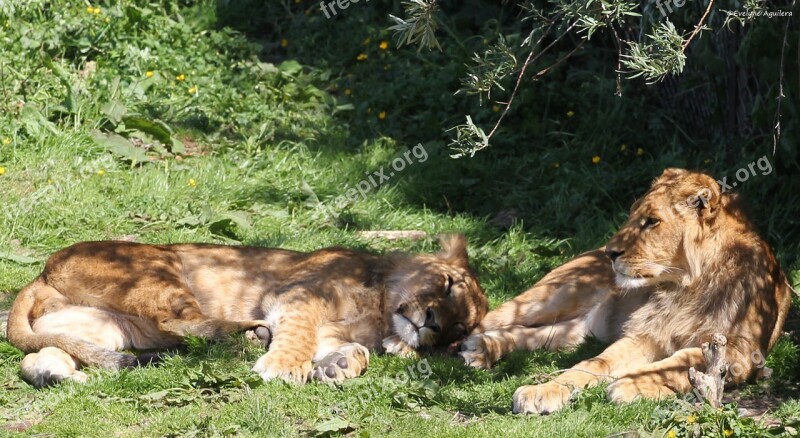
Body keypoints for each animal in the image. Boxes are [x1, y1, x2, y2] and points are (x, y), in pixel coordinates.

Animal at [7, 234, 488, 388]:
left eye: (457, 331)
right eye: (447, 284)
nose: (433, 324)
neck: (380, 310)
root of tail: (43, 270)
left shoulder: (339, 330)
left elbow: (354, 349)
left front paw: (339, 365)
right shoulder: (298, 295)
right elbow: (298, 335)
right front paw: (284, 366)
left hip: (102, 327)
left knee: (40, 354)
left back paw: (58, 375)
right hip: (159, 268)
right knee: (177, 320)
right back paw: (247, 337)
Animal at [460, 168, 792, 414]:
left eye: (652, 221)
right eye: (631, 216)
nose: (611, 252)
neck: (684, 286)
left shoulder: (742, 352)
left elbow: (681, 362)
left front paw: (631, 384)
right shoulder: (646, 335)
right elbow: (594, 364)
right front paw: (544, 390)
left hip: (580, 331)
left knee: (538, 335)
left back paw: (483, 348)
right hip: (554, 296)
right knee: (488, 321)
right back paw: (474, 346)